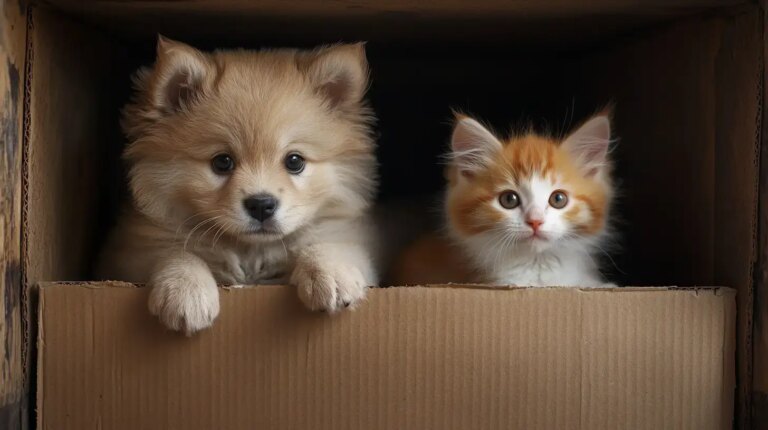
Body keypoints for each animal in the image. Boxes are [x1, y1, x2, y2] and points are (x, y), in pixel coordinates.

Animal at [97, 37, 380, 334]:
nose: (261, 205)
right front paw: (187, 291)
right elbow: (175, 253)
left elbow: (326, 245)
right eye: (222, 162)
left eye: (294, 161)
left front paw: (331, 275)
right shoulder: (129, 256)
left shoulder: (349, 236)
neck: (249, 252)